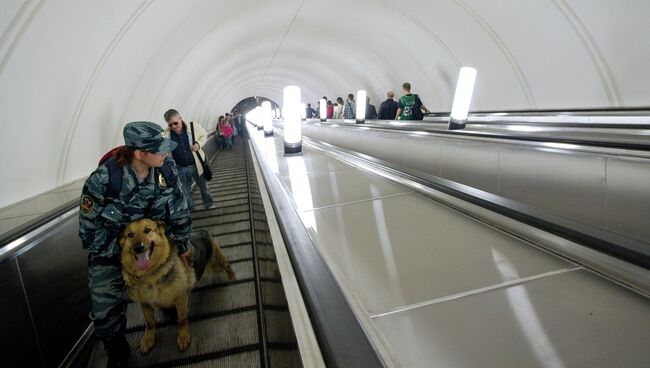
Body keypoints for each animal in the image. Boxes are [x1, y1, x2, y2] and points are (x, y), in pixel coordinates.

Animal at [119, 218, 235, 354]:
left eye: (147, 230)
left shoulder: (180, 299)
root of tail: (202, 231)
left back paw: (232, 276)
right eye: (130, 235)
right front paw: (148, 339)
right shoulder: (145, 304)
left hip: (216, 263)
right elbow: (150, 322)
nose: (138, 247)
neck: (150, 276)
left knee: (227, 264)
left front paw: (183, 337)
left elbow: (181, 320)